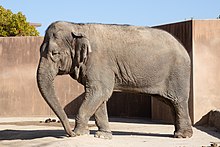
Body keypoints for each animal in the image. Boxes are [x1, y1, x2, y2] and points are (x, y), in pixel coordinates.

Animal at [37, 20, 192, 139]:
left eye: (54, 53)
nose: (70, 134)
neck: (78, 26)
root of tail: (183, 47)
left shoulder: (98, 61)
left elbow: (99, 92)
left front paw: (80, 133)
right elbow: (99, 96)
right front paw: (102, 135)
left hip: (178, 73)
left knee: (178, 102)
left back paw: (182, 136)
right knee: (170, 103)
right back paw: (178, 133)